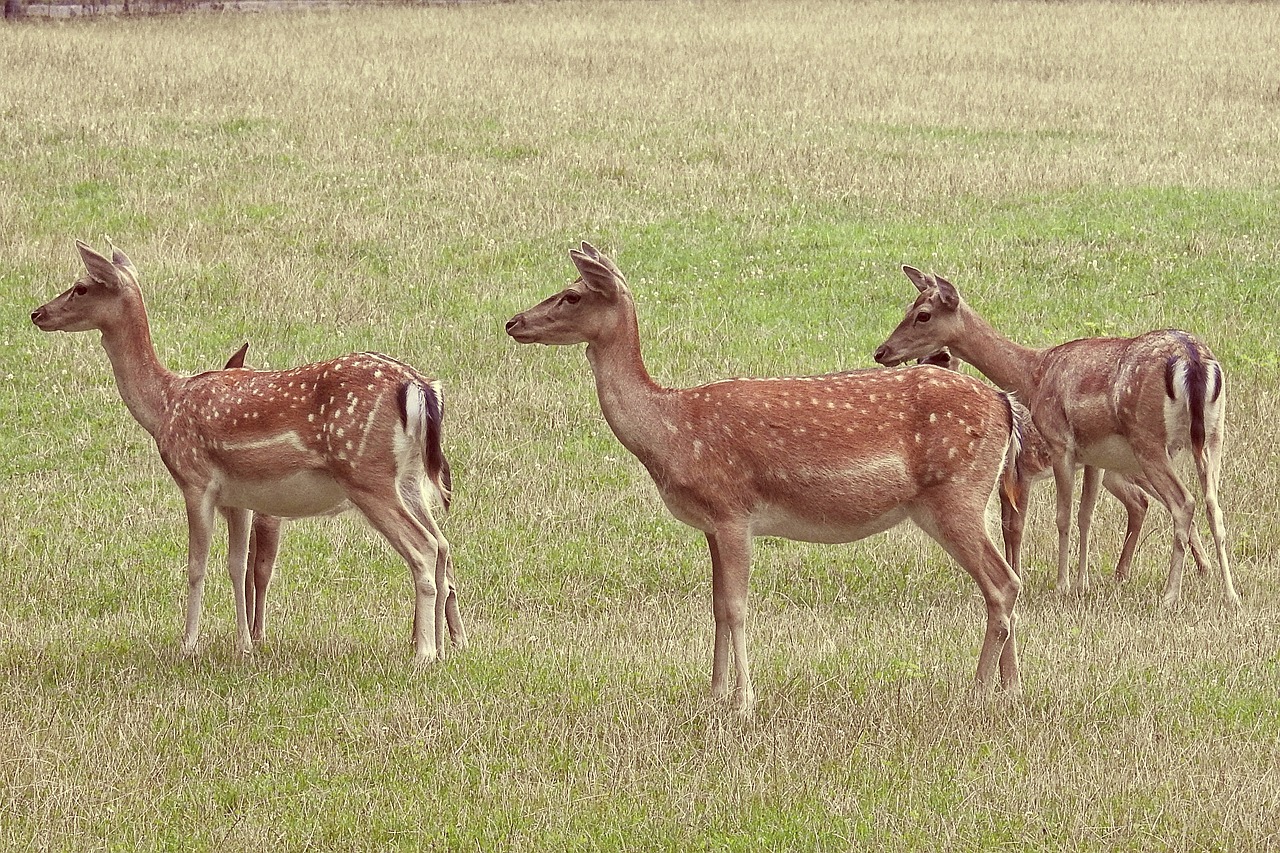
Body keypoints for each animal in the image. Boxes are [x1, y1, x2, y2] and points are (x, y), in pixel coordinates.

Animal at [32, 242, 468, 660]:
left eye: (81, 287)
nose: (37, 313)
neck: (165, 405)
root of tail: (419, 386)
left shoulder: (196, 480)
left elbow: (197, 565)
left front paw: (188, 645)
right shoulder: (237, 497)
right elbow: (237, 565)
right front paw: (244, 646)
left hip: (365, 473)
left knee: (425, 548)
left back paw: (424, 653)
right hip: (408, 479)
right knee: (442, 544)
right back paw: (441, 646)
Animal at [504, 240, 1024, 712]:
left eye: (573, 295)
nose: (512, 322)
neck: (671, 431)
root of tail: (1006, 404)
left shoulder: (733, 510)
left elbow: (736, 608)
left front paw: (744, 702)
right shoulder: (711, 525)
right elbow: (716, 606)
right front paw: (713, 694)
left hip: (955, 494)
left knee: (1003, 582)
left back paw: (978, 693)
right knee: (1004, 581)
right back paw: (1007, 687)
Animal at [916, 348, 1157, 581]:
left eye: (942, 359)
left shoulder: (1025, 471)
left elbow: (1016, 527)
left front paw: (1018, 573)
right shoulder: (1004, 483)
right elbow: (1006, 527)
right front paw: (1012, 568)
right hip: (1113, 474)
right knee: (1139, 501)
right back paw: (1120, 574)